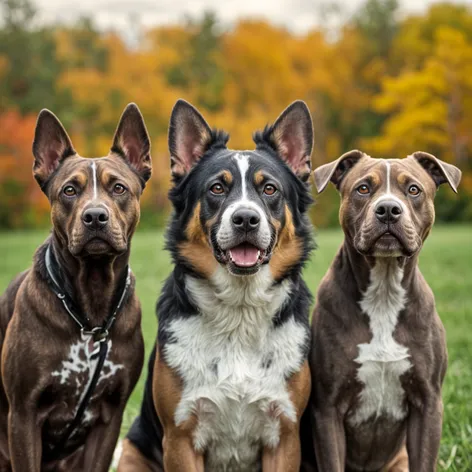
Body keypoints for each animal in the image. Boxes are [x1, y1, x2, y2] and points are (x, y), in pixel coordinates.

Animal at [118, 97, 316, 470]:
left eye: (269, 189)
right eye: (217, 188)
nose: (246, 219)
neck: (239, 311)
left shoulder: (285, 435)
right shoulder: (180, 437)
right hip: (132, 451)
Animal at [304, 151, 462, 472]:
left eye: (413, 189)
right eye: (363, 188)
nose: (388, 209)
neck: (384, 294)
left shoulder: (428, 404)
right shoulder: (327, 409)